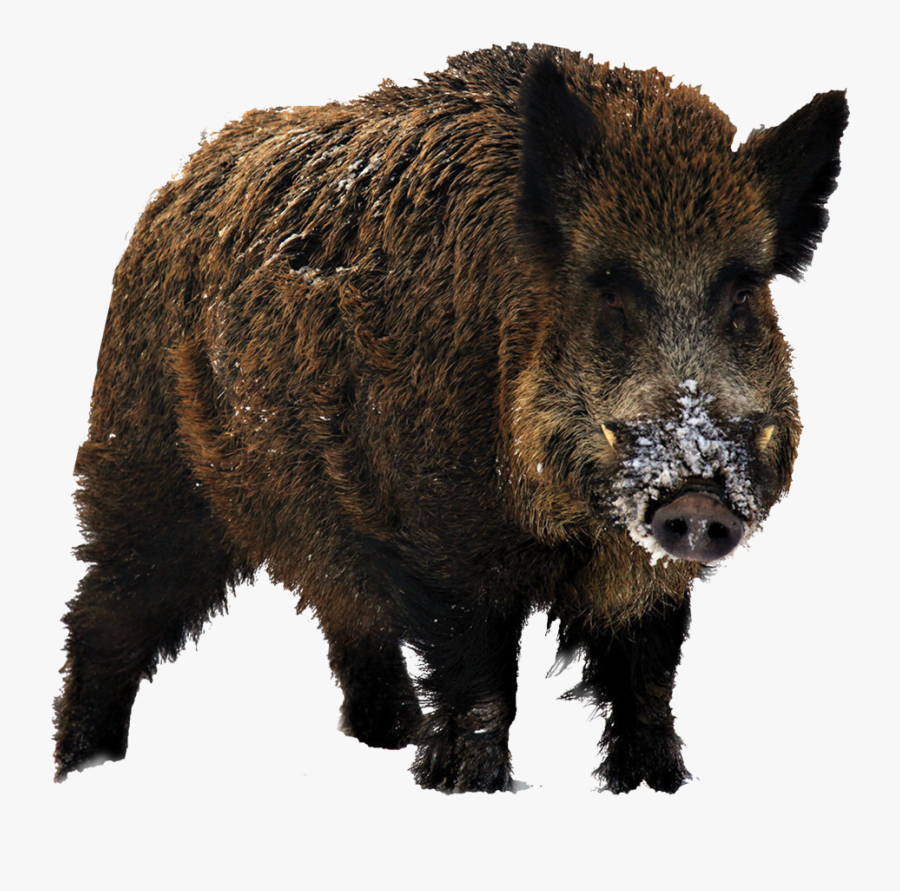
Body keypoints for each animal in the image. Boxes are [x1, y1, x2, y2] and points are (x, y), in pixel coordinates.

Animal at [54, 43, 847, 793]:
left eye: (742, 292)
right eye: (609, 289)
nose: (697, 500)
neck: (569, 524)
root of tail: (180, 182)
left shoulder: (640, 574)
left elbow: (645, 683)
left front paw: (656, 785)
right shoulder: (444, 536)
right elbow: (481, 685)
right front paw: (467, 786)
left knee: (346, 612)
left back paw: (390, 736)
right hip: (148, 465)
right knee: (105, 613)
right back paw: (82, 765)